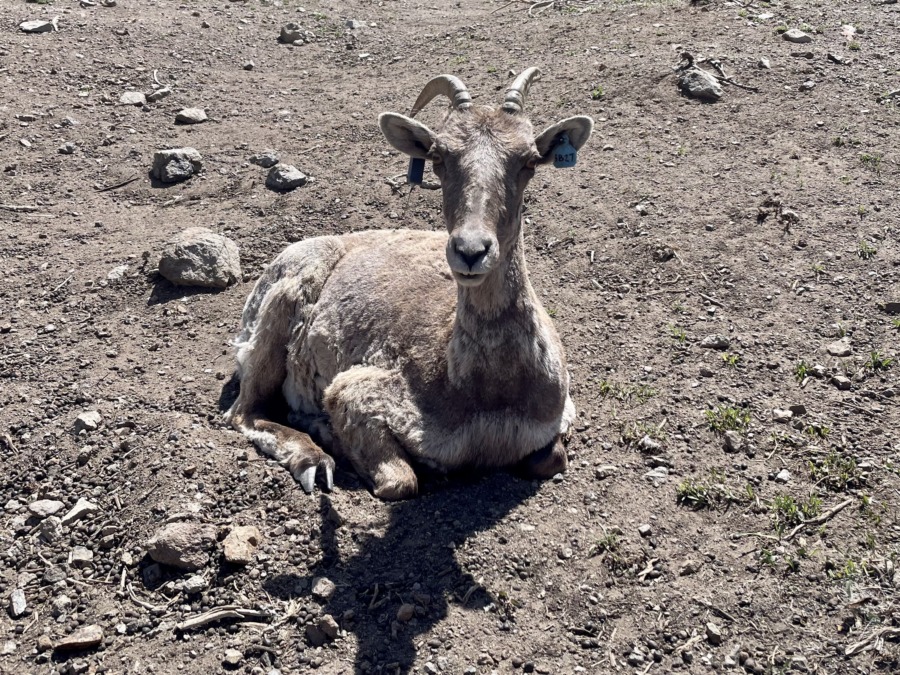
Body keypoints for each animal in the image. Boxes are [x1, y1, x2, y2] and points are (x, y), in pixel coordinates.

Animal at [227, 68, 593, 500]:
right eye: (438, 157)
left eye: (530, 161)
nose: (471, 250)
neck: (486, 393)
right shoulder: (359, 391)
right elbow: (400, 481)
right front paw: (329, 433)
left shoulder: (558, 415)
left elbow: (552, 459)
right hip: (282, 305)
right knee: (245, 412)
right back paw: (314, 458)